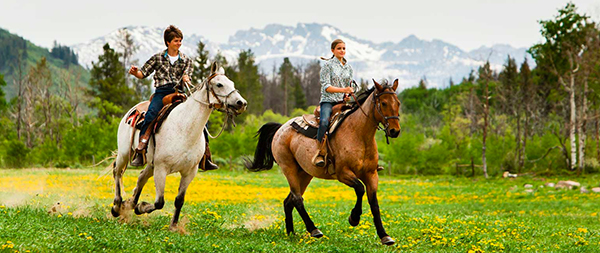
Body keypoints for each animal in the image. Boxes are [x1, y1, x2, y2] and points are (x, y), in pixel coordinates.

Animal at [110, 62, 246, 230]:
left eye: (232, 83)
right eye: (219, 84)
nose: (241, 103)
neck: (185, 128)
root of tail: (133, 110)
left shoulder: (189, 172)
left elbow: (179, 200)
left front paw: (173, 226)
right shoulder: (161, 169)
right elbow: (159, 202)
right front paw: (141, 207)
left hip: (151, 164)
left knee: (141, 177)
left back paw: (128, 204)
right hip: (125, 153)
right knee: (117, 172)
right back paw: (117, 206)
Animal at [246, 79, 400, 245]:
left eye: (398, 103)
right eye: (383, 103)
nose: (395, 131)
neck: (359, 135)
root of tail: (281, 128)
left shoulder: (371, 174)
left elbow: (374, 203)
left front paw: (384, 236)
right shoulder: (343, 173)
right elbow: (359, 189)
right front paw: (354, 218)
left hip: (304, 173)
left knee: (289, 201)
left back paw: (291, 233)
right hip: (289, 168)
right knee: (297, 199)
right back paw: (314, 230)